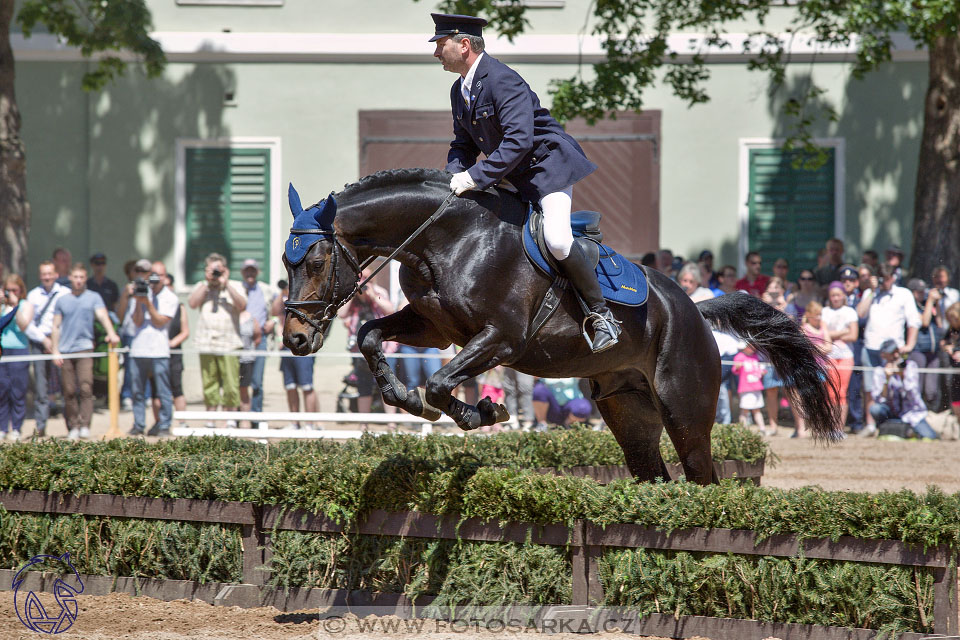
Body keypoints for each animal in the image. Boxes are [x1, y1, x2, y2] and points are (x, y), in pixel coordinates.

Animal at [282, 168, 836, 482]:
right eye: (287, 263)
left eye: (315, 262)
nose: (296, 338)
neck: (447, 239)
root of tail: (697, 313)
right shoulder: (435, 327)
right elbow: (370, 336)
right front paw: (404, 397)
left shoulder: (501, 339)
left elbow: (440, 383)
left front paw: (481, 411)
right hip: (627, 408)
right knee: (653, 474)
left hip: (685, 409)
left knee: (702, 477)